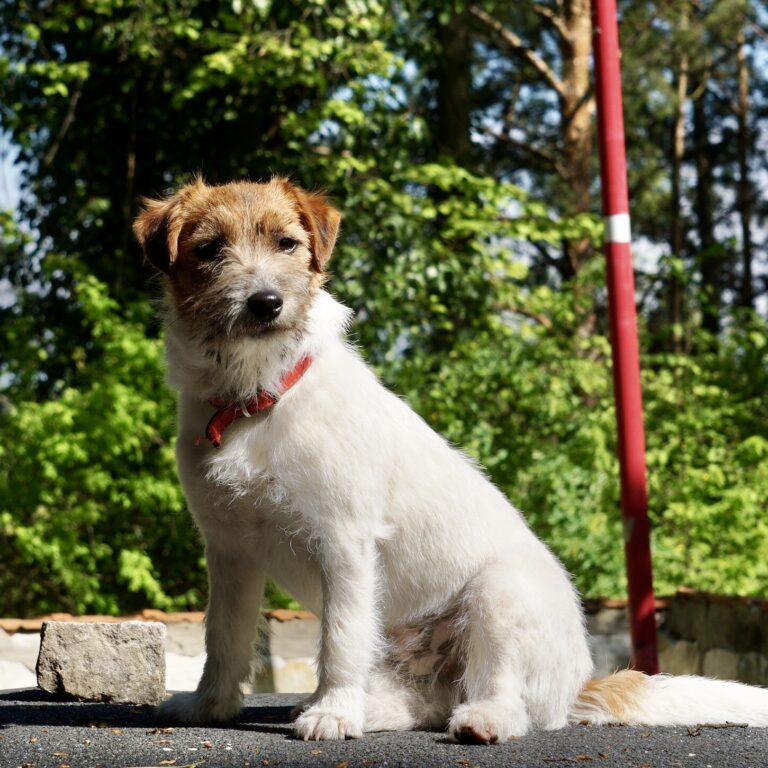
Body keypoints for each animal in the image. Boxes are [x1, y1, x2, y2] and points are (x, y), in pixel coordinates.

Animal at [135, 177, 768, 740]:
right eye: (210, 249)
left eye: (287, 243)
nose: (266, 302)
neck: (256, 396)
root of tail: (577, 686)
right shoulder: (230, 552)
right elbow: (224, 637)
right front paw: (210, 706)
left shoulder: (343, 542)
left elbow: (339, 638)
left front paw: (332, 714)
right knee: (425, 702)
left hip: (500, 594)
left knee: (503, 697)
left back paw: (480, 720)